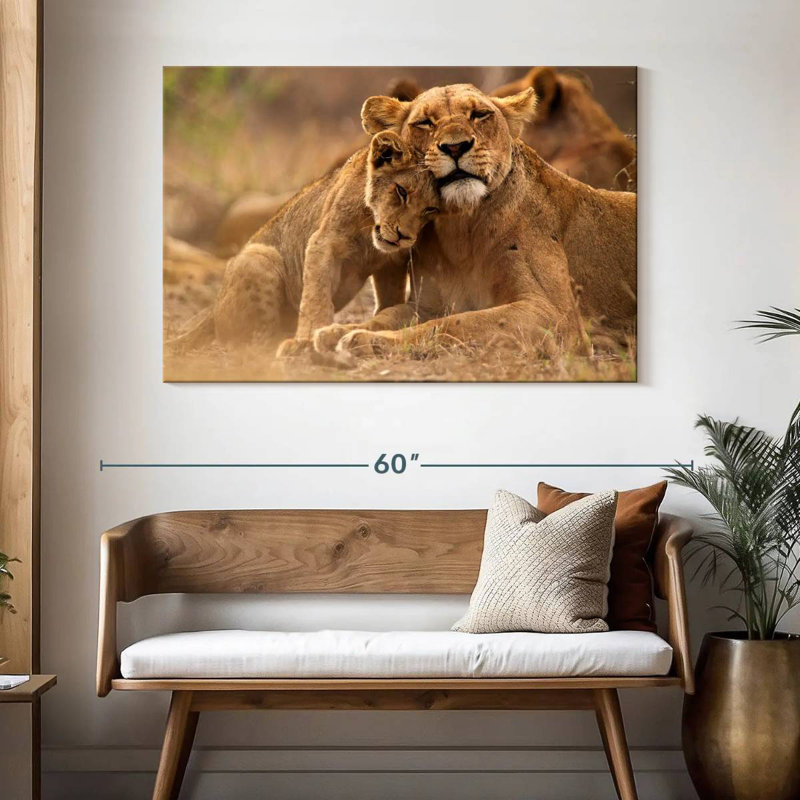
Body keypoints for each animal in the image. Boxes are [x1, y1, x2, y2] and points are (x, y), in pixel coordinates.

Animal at [167, 131, 440, 354]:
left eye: (430, 209)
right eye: (401, 192)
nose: (404, 236)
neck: (369, 232)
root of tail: (212, 311)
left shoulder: (391, 262)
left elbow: (389, 300)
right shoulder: (323, 243)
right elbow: (316, 297)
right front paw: (308, 339)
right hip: (258, 257)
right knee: (249, 343)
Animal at [314, 83, 636, 360]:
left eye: (479, 114)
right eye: (425, 123)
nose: (455, 147)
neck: (461, 228)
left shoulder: (557, 316)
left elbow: (456, 323)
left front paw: (367, 341)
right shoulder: (427, 304)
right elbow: (387, 315)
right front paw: (336, 331)